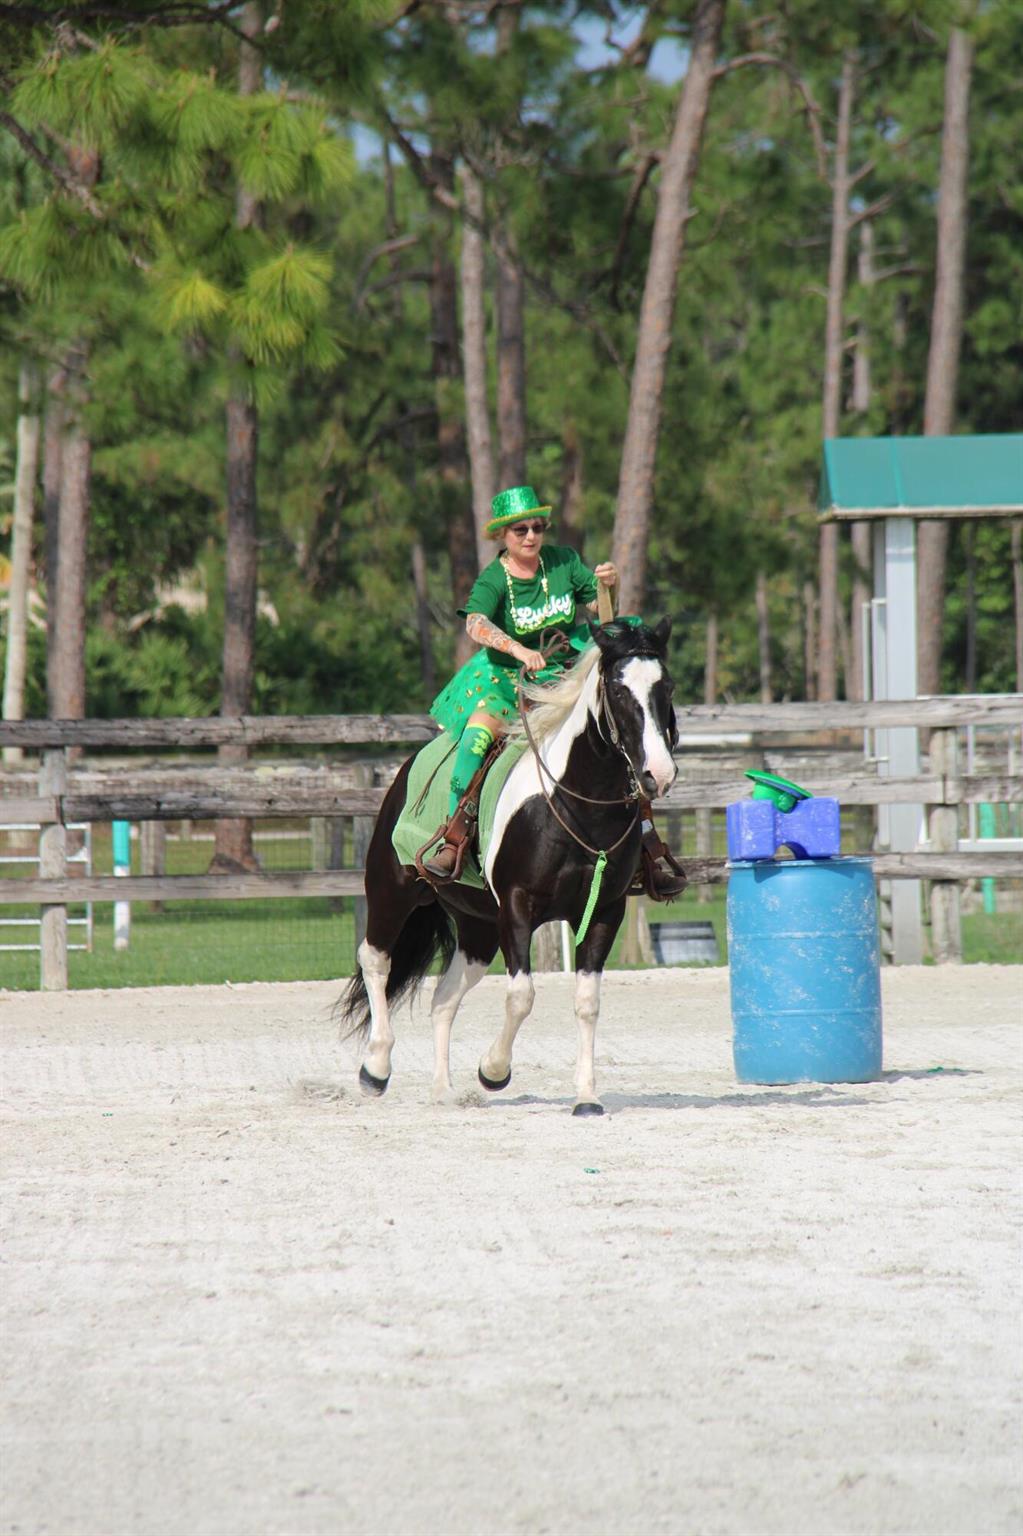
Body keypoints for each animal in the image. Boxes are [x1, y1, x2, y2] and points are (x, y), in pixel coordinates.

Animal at [341, 620, 675, 1118]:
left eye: (666, 687)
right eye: (618, 690)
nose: (659, 774)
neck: (573, 805)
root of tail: (404, 772)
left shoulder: (603, 912)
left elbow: (587, 1002)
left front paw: (587, 1097)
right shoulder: (517, 908)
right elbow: (521, 997)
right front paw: (493, 1071)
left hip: (476, 927)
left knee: (443, 998)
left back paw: (442, 1090)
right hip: (392, 890)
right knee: (376, 960)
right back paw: (376, 1067)